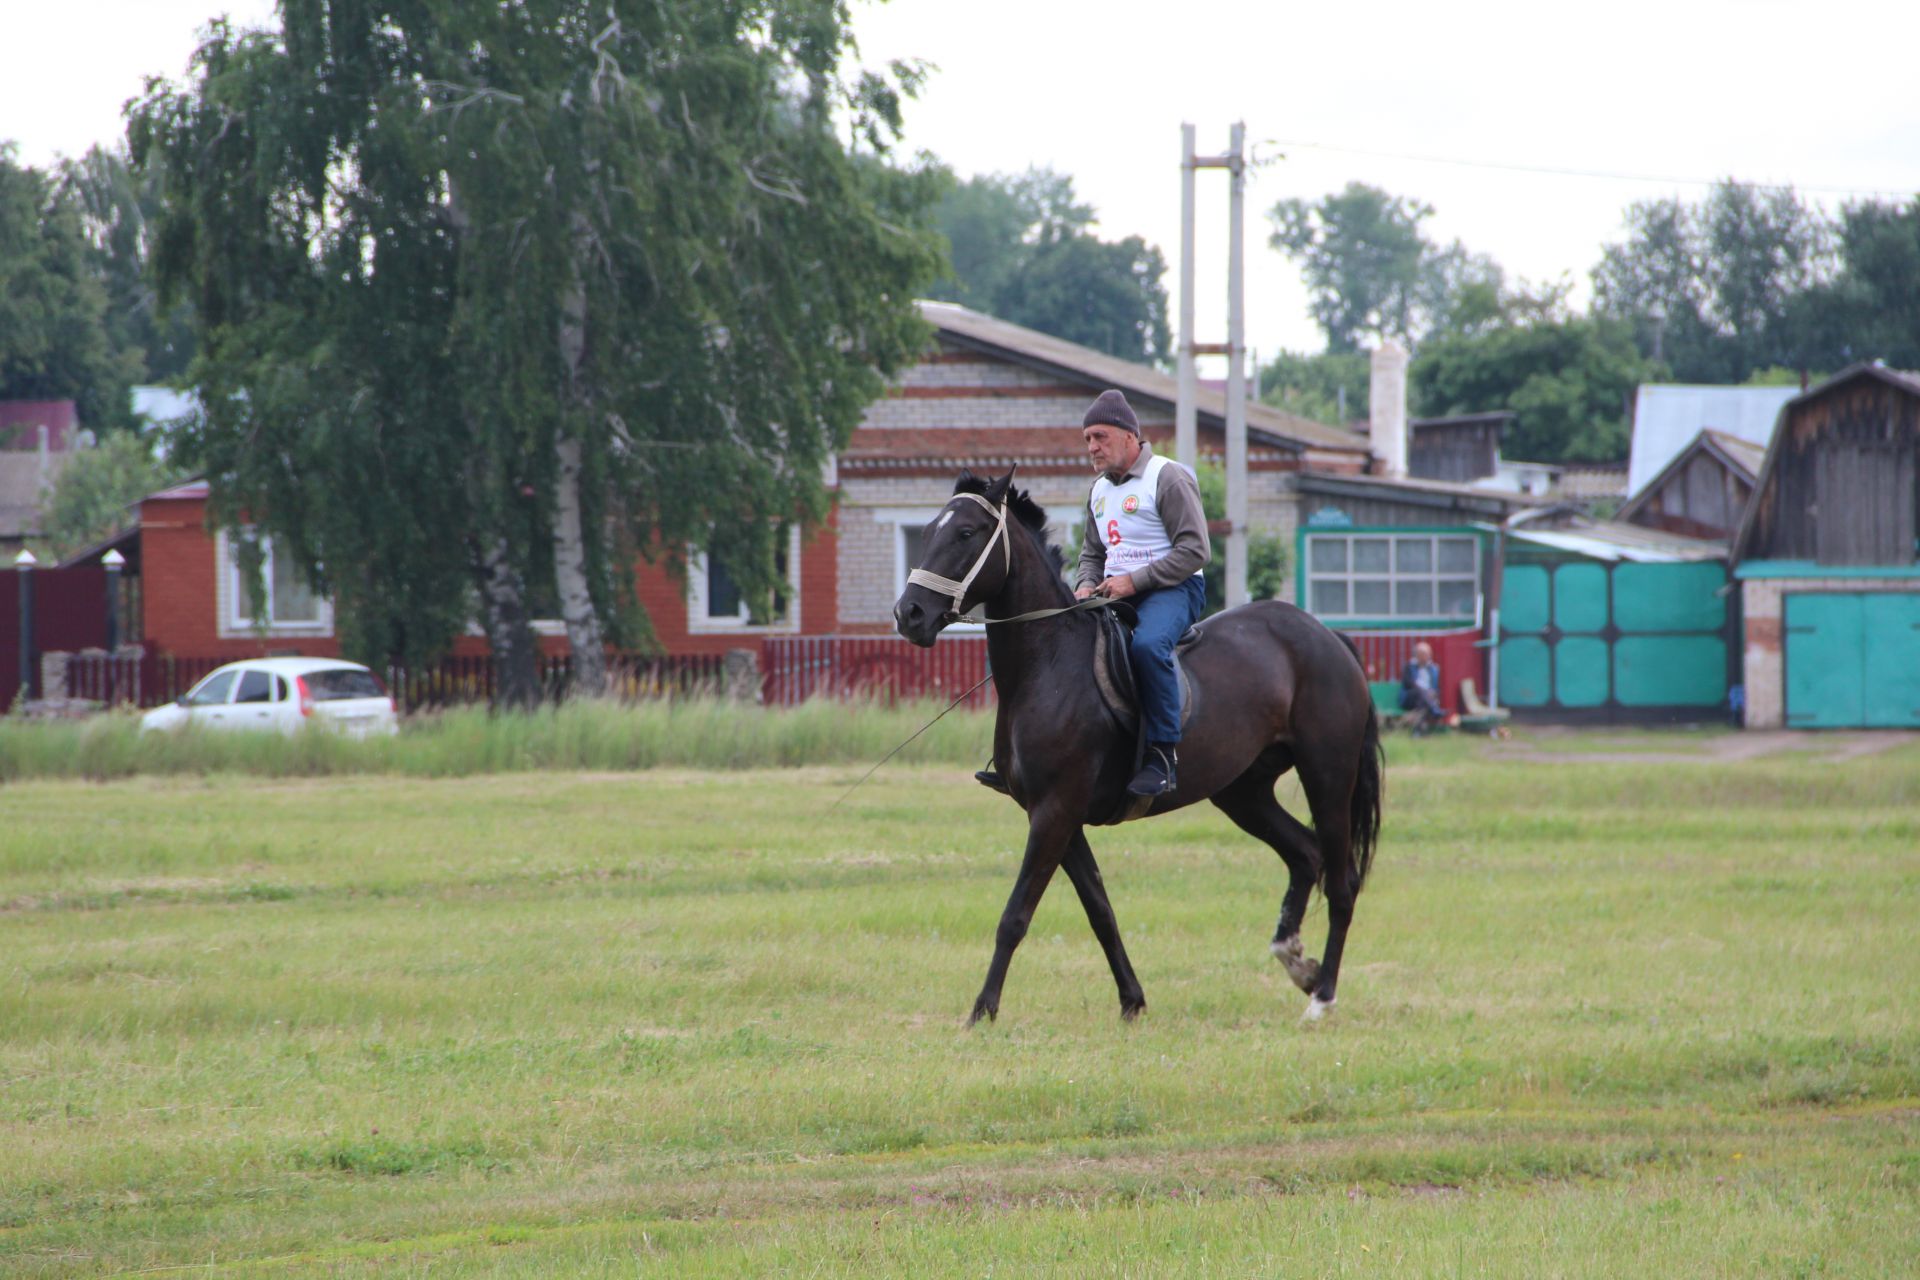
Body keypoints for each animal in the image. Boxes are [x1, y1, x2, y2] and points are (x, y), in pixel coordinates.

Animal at [898, 468, 1382, 1020]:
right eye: (928, 530)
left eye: (965, 533)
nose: (909, 614)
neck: (1049, 663)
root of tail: (1326, 636)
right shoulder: (1059, 819)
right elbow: (1100, 911)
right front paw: (1132, 1001)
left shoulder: (1054, 813)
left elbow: (1015, 915)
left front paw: (982, 1010)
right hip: (1243, 792)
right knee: (1304, 854)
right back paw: (1296, 961)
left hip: (1328, 777)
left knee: (1342, 882)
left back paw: (1322, 996)